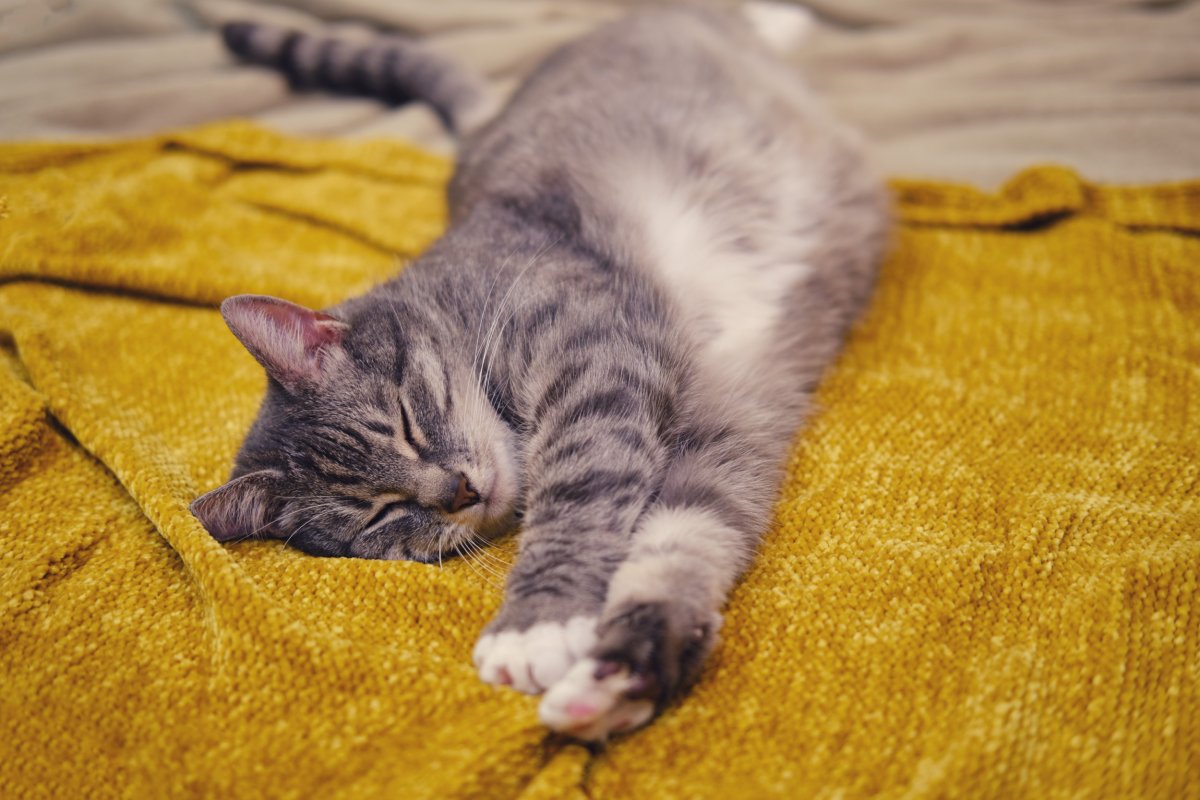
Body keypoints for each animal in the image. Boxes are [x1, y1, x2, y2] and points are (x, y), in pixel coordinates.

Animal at [194, 3, 892, 743]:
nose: (459, 491)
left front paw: (535, 626)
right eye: (379, 515)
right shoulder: (727, 415)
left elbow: (578, 494)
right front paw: (616, 676)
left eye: (407, 421)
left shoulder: (595, 357)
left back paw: (779, 21)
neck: (457, 300)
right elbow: (683, 539)